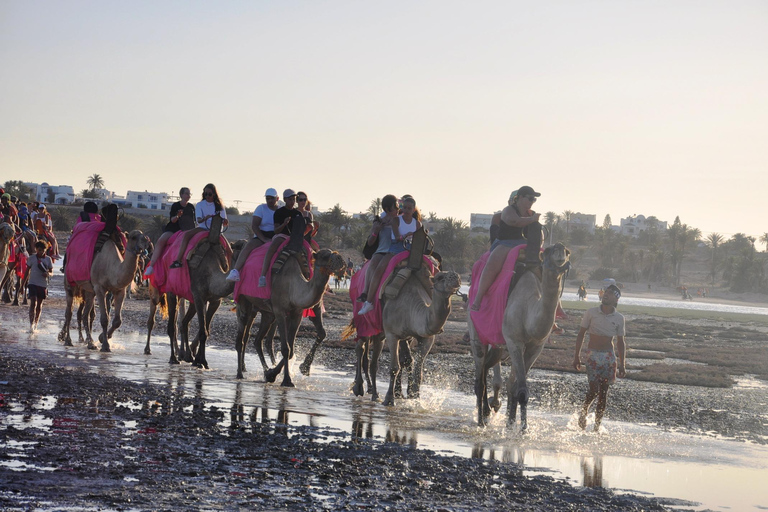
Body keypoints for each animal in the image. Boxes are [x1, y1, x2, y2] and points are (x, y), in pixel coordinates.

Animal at [231, 247, 344, 384]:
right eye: (325, 256)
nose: (340, 259)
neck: (293, 285)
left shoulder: (297, 313)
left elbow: (291, 350)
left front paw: (274, 374)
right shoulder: (280, 311)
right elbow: (286, 348)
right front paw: (287, 380)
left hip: (267, 314)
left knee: (258, 340)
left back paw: (265, 371)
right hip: (244, 301)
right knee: (241, 337)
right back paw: (240, 373)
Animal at [354, 266, 462, 406]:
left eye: (457, 276)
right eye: (439, 277)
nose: (455, 277)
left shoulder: (426, 337)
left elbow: (417, 370)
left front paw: (414, 397)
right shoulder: (392, 334)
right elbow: (394, 367)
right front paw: (389, 399)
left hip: (383, 334)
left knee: (376, 358)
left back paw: (375, 392)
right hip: (364, 324)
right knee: (361, 348)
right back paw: (360, 388)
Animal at [468, 242, 568, 430]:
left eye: (567, 251)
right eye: (548, 251)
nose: (560, 248)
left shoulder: (536, 346)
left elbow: (516, 388)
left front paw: (513, 424)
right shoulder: (514, 341)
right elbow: (521, 389)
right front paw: (521, 430)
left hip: (499, 345)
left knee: (487, 369)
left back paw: (488, 412)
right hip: (476, 333)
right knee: (479, 379)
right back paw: (481, 420)